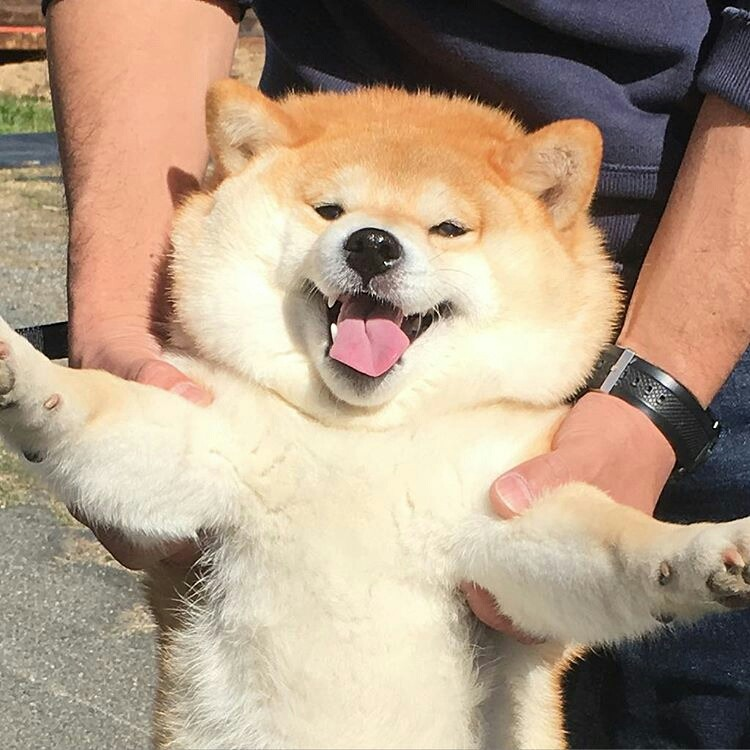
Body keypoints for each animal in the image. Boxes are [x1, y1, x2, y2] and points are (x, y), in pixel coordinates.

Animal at [1, 83, 750, 750]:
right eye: (329, 209)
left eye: (448, 227)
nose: (371, 243)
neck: (364, 440)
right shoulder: (205, 447)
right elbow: (92, 411)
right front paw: (20, 370)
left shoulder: (503, 515)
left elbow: (618, 544)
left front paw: (704, 554)